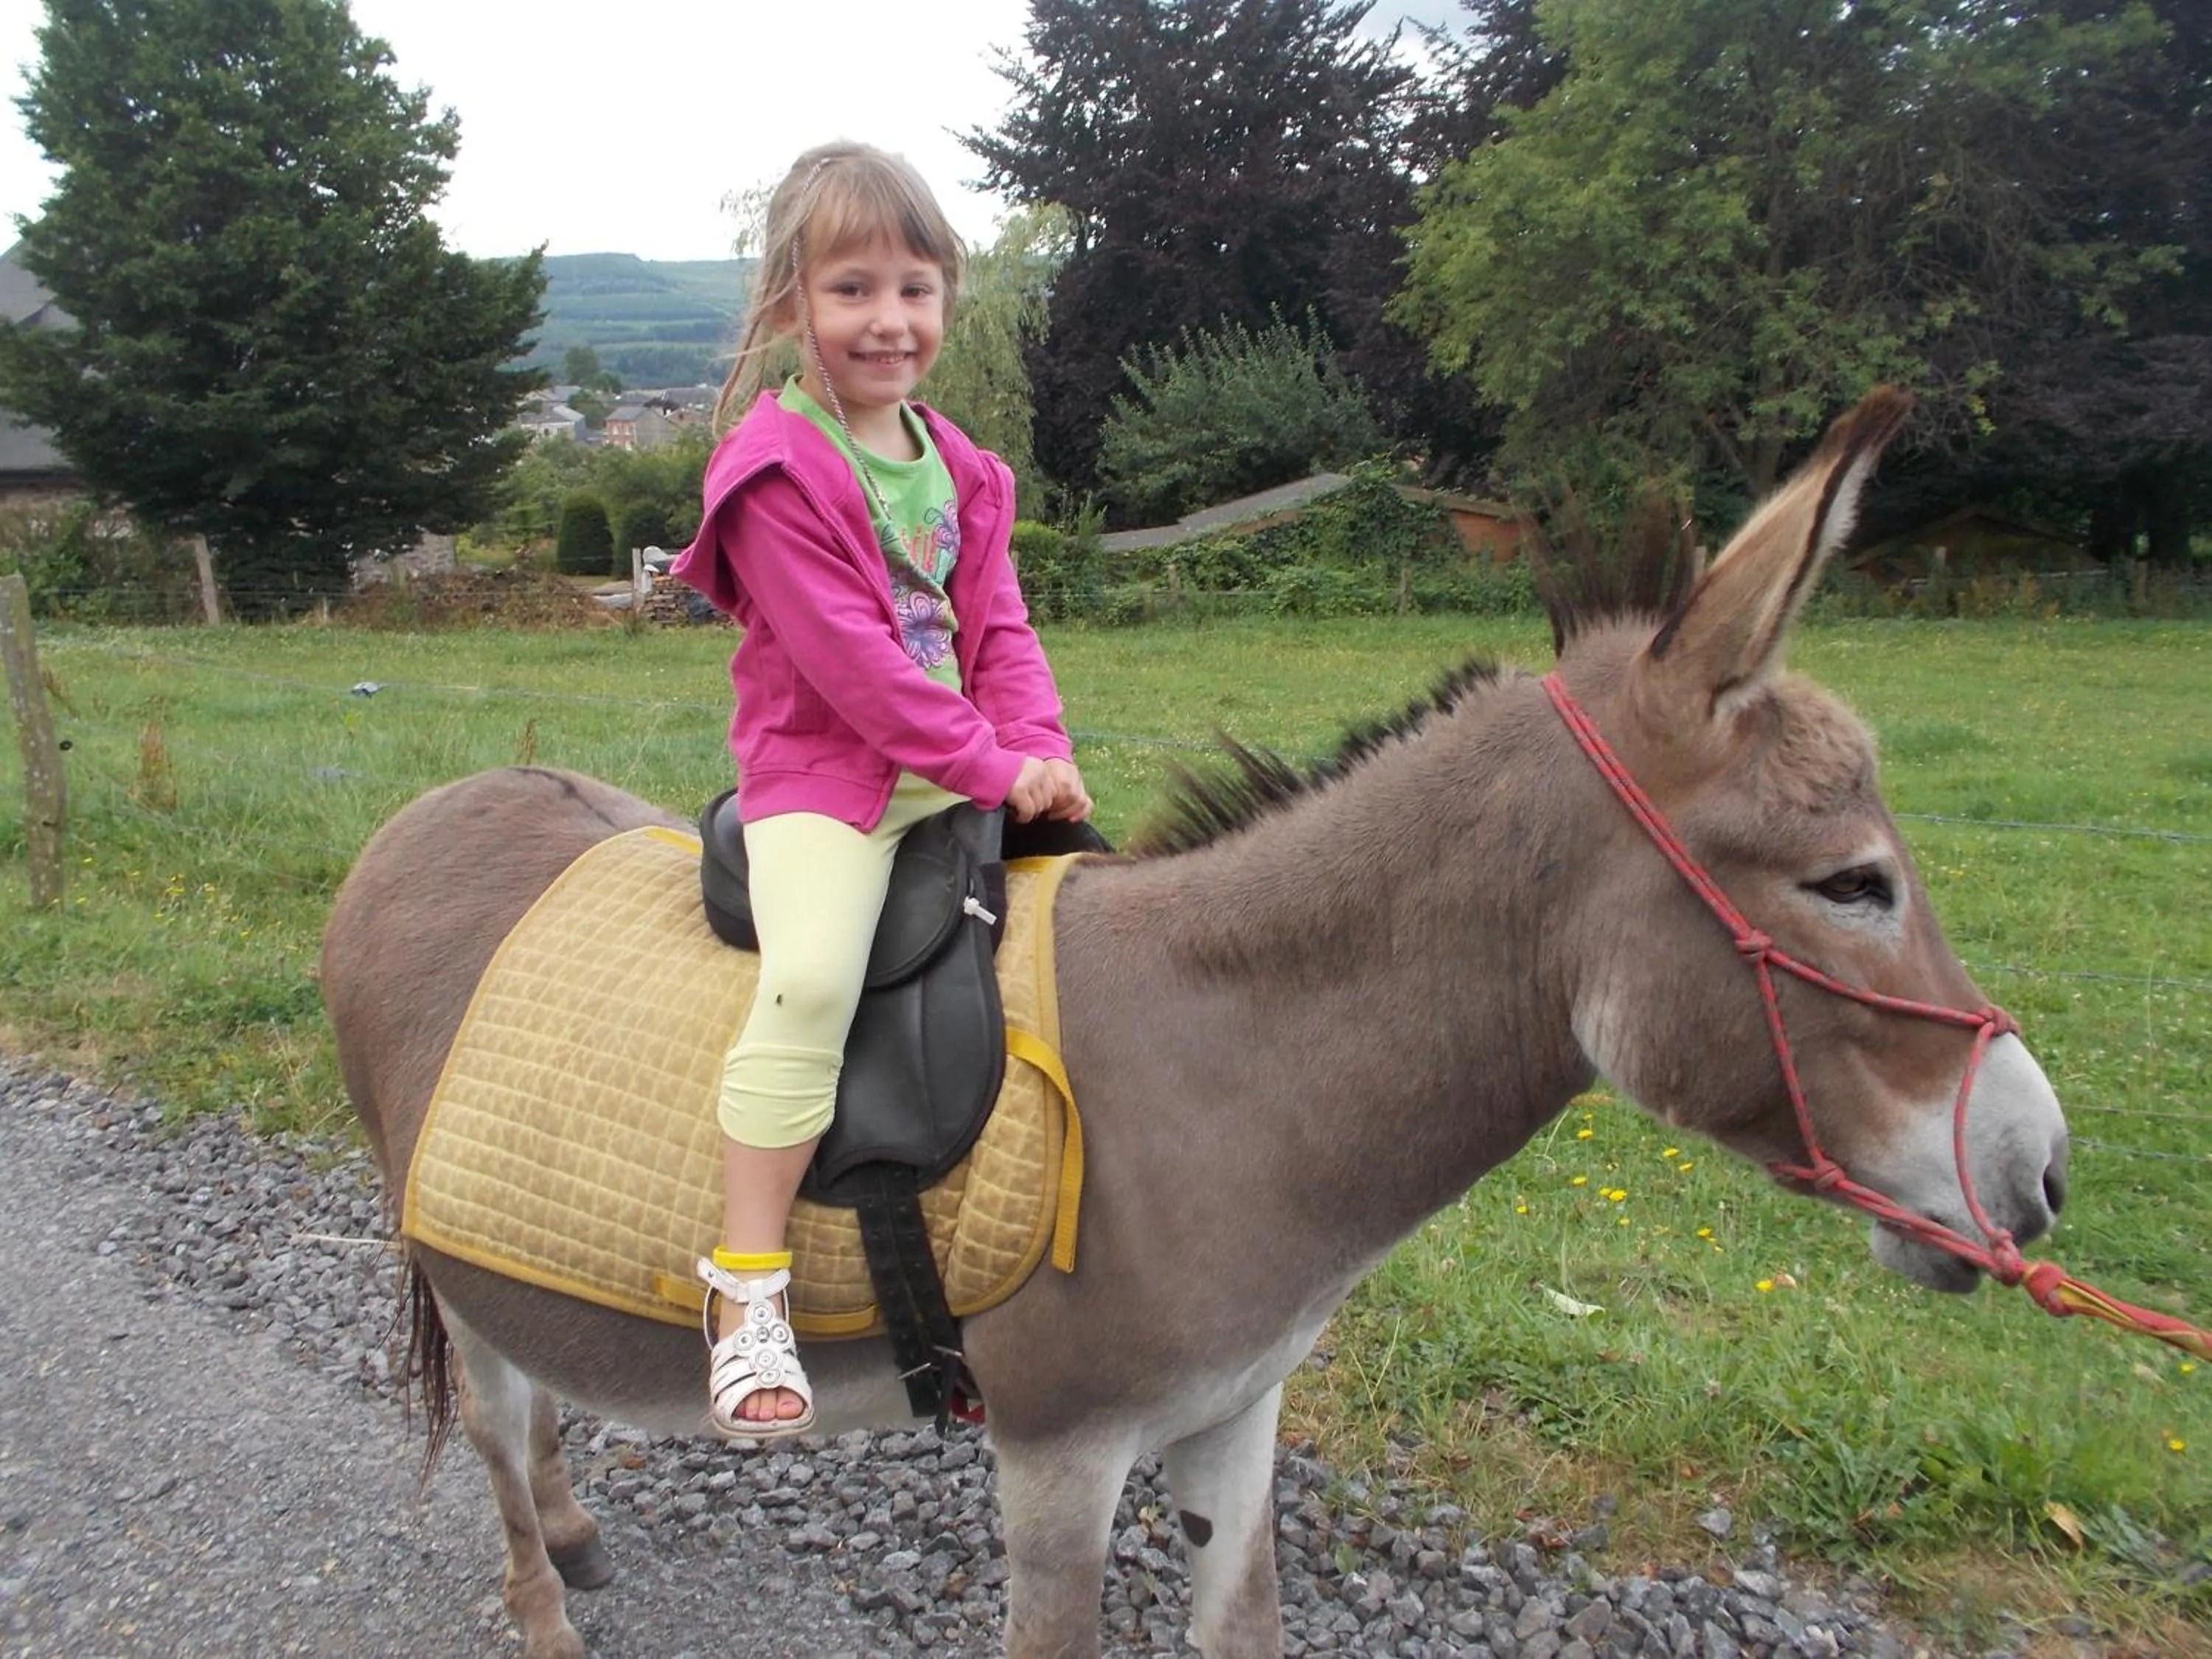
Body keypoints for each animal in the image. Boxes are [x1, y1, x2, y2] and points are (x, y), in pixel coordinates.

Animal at [321, 389, 2069, 1659]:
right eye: (1851, 884)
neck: (1222, 1068)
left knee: (534, 1398)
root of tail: (430, 809)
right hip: (451, 1258)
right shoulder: (1057, 1457)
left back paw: (573, 1531)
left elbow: (1250, 1627)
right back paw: (542, 1593)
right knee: (497, 1425)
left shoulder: (1236, 1416)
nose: (2041, 1171)